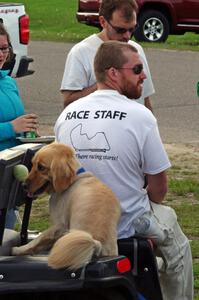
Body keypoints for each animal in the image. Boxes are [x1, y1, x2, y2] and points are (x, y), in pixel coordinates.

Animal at [12, 142, 121, 270]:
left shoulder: (59, 225)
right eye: (33, 164)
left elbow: (38, 238)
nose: (23, 185)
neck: (73, 179)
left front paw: (19, 249)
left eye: (41, 167)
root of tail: (97, 244)